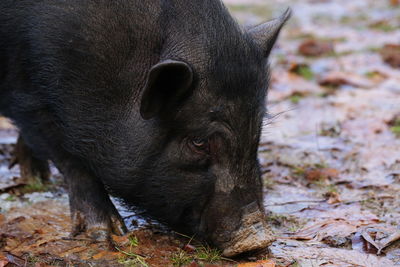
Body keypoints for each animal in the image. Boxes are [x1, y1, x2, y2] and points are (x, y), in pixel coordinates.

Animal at [0, 0, 290, 256]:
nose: (259, 238)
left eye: (255, 133)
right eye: (198, 142)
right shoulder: (28, 96)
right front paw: (109, 234)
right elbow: (71, 160)